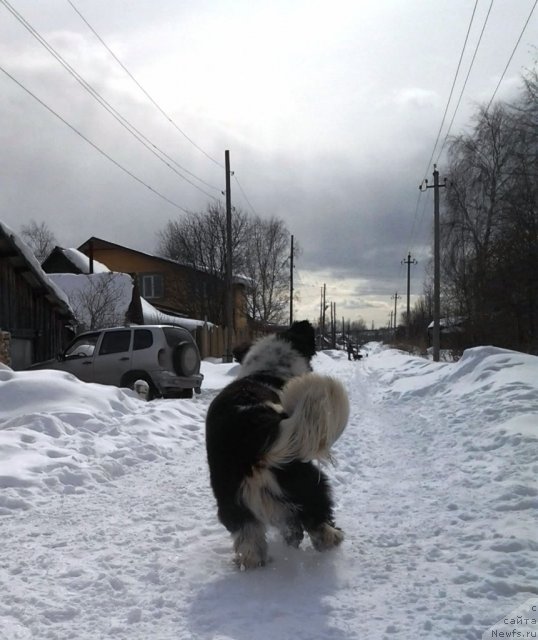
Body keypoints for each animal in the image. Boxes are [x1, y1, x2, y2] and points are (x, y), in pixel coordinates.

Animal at [204, 320, 348, 568]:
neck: (267, 372)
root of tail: (251, 433)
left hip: (234, 503)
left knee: (252, 544)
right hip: (304, 478)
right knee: (317, 520)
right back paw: (333, 538)